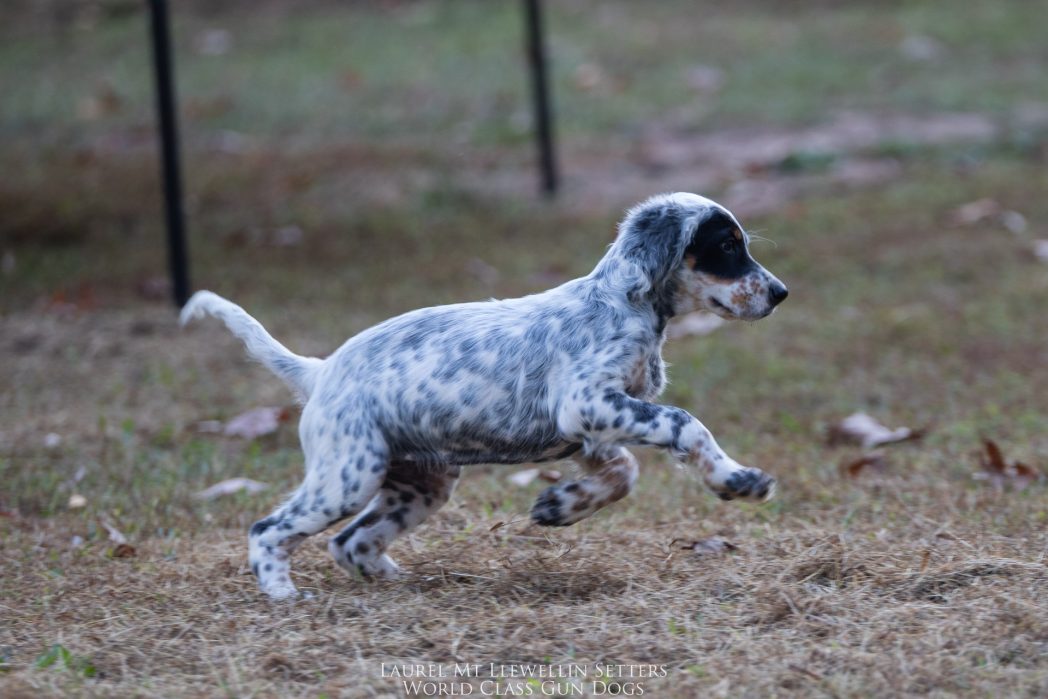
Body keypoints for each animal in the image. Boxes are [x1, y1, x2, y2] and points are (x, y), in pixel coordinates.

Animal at [182, 192, 788, 603]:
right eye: (726, 246)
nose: (781, 293)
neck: (623, 302)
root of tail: (321, 370)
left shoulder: (592, 430)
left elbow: (624, 473)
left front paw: (561, 505)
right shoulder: (586, 402)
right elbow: (686, 424)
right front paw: (736, 479)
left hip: (421, 484)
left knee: (351, 543)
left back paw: (398, 585)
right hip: (347, 475)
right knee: (269, 530)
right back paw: (283, 594)